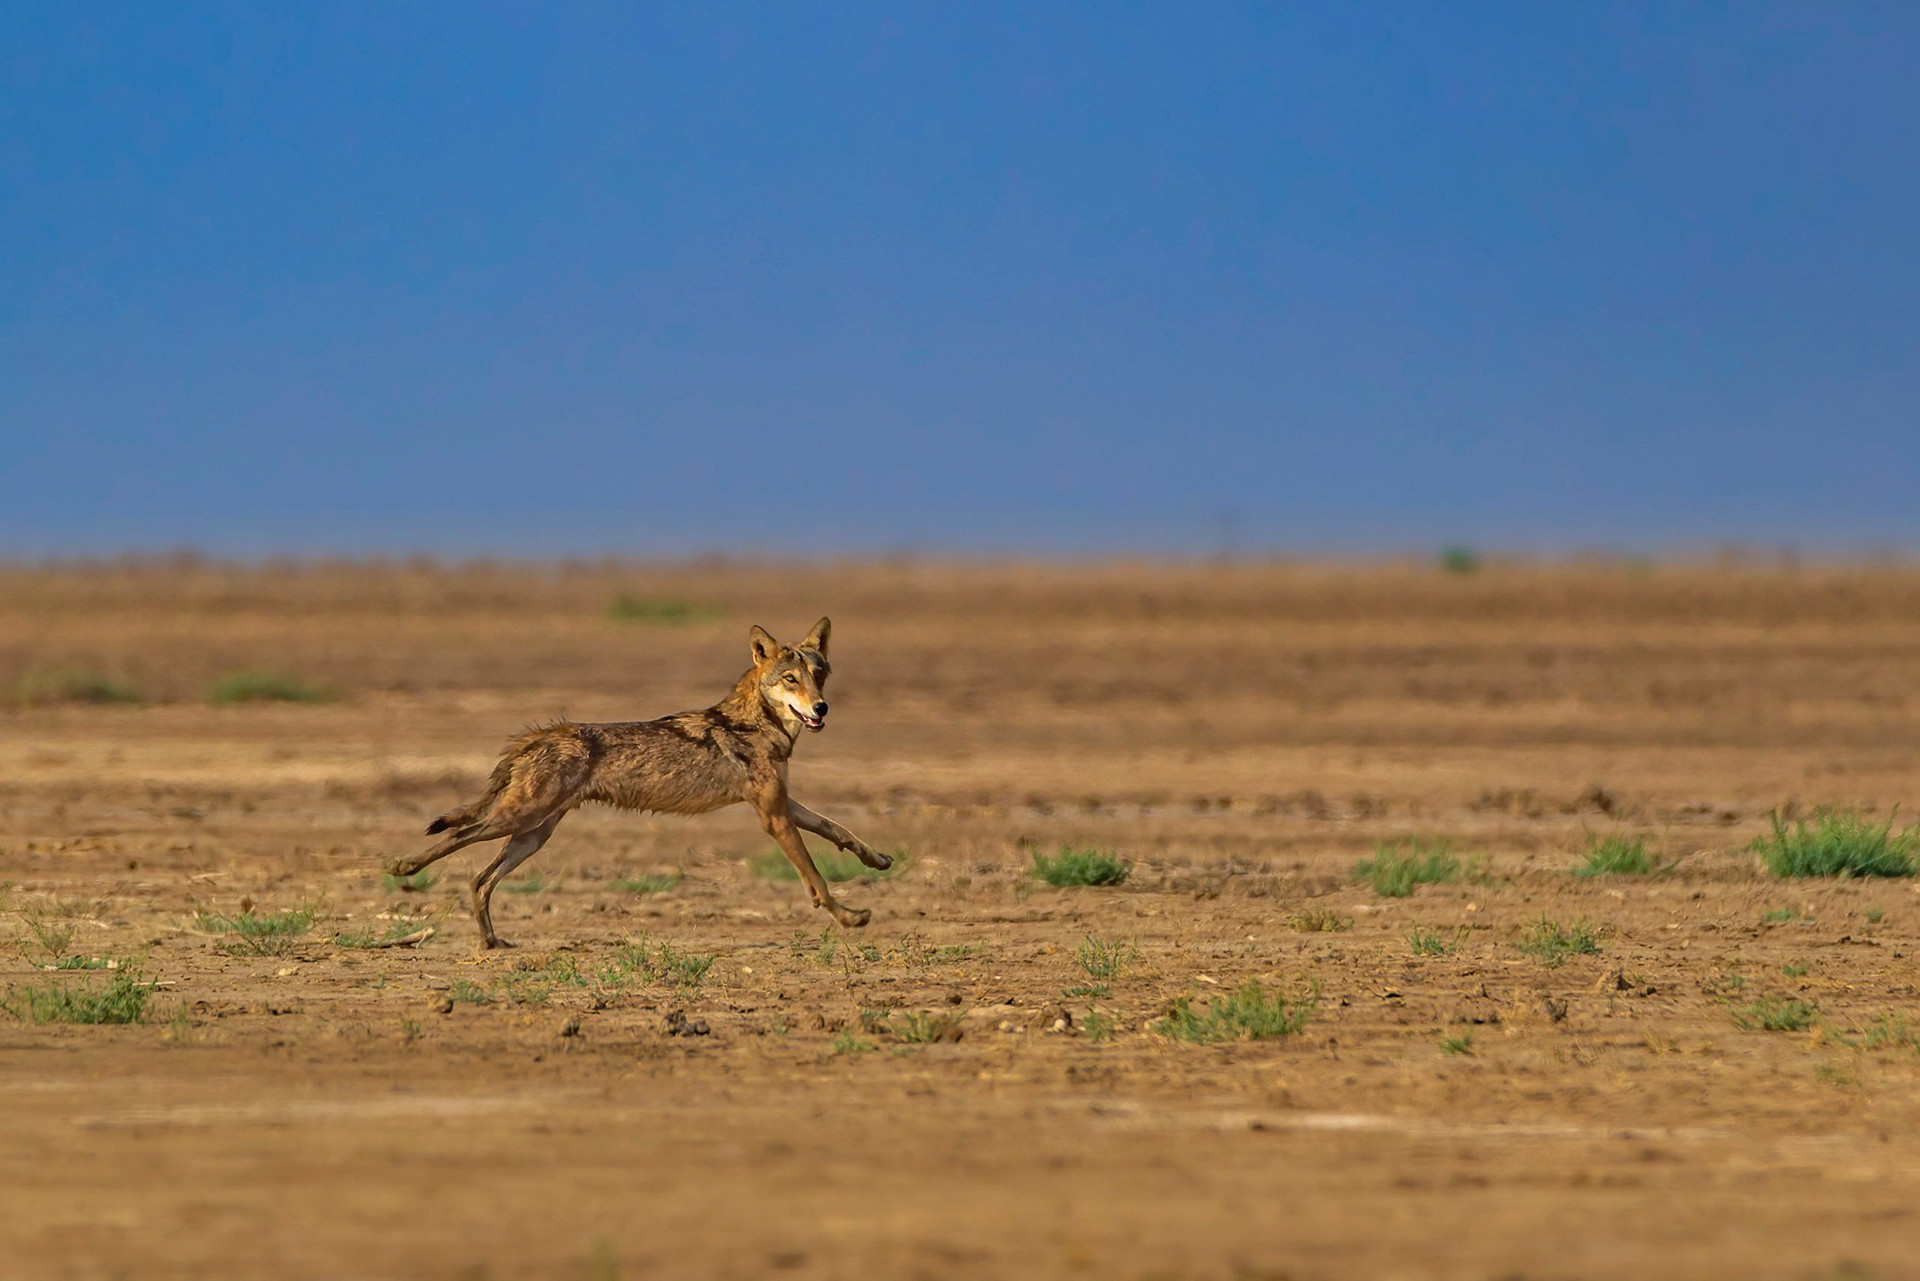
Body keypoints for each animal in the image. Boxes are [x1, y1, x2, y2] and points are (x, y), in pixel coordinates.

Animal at [385, 617, 890, 947]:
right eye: (789, 679)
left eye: (819, 675)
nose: (821, 708)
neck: (757, 724)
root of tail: (542, 733)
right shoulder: (772, 817)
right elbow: (817, 878)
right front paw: (849, 917)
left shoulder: (781, 804)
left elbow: (836, 828)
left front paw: (877, 858)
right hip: (518, 819)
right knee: (459, 837)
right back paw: (403, 866)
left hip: (531, 836)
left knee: (479, 880)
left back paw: (492, 941)